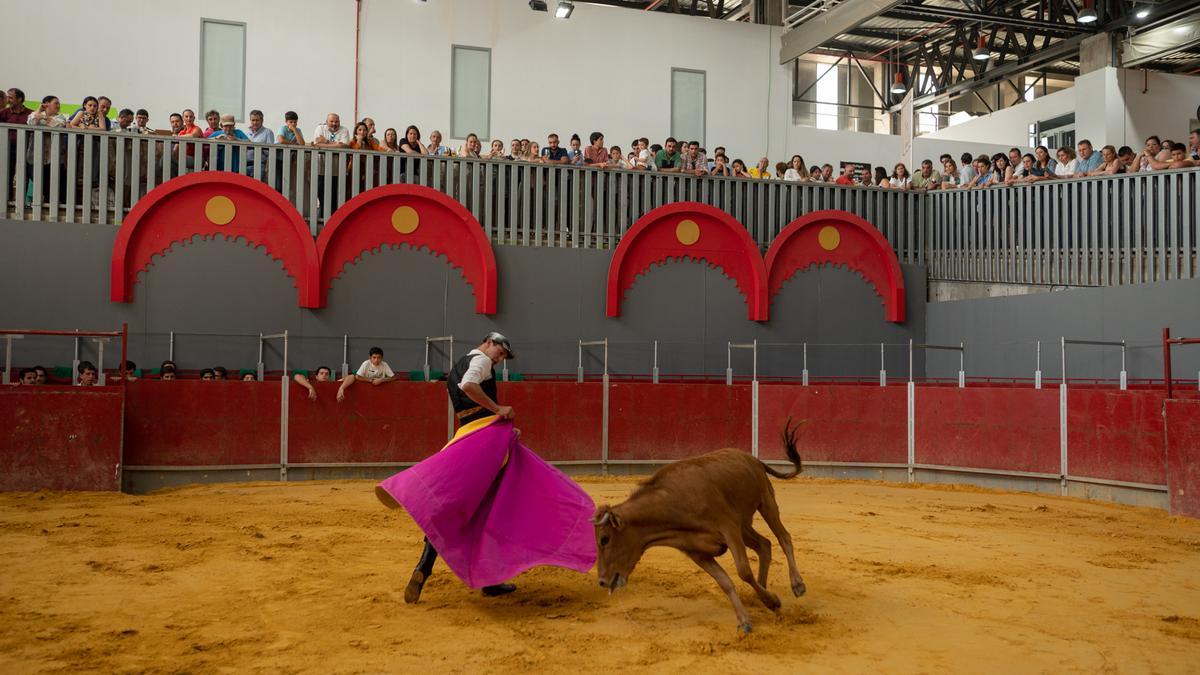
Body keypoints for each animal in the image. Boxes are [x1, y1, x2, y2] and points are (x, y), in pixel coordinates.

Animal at [592, 417, 806, 634]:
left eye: (604, 539)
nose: (602, 581)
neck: (675, 503)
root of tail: (751, 457)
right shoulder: (697, 551)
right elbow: (725, 582)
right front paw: (745, 620)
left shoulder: (728, 528)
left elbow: (743, 571)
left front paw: (773, 601)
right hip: (744, 525)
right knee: (764, 545)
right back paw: (761, 592)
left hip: (766, 501)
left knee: (783, 537)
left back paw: (797, 584)